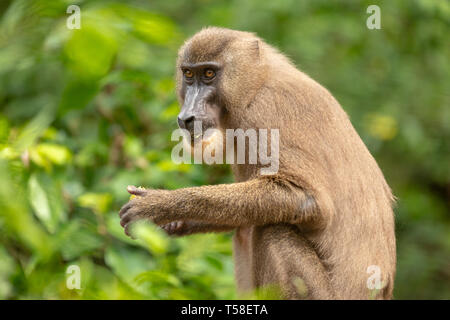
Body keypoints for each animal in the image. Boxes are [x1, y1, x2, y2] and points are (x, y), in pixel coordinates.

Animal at [118, 27, 396, 300]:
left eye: (208, 74)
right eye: (188, 74)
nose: (187, 117)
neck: (256, 83)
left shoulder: (264, 114)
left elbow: (308, 199)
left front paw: (159, 205)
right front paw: (173, 222)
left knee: (274, 231)